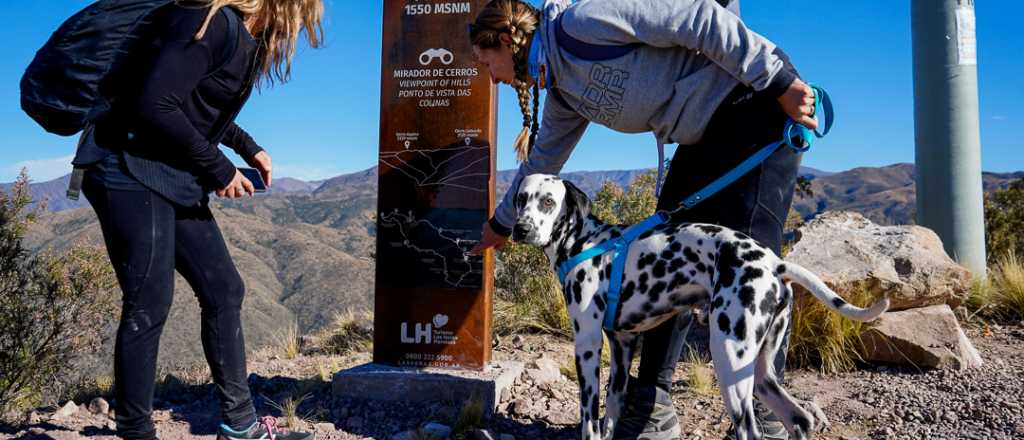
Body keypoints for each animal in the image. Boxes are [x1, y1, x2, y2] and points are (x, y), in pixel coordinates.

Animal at [512, 174, 888, 440]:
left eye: (548, 201)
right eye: (520, 199)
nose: (520, 229)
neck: (584, 242)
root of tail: (773, 263)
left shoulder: (587, 347)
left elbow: (589, 421)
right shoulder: (621, 349)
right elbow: (611, 416)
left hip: (729, 360)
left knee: (751, 430)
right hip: (761, 372)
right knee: (799, 419)